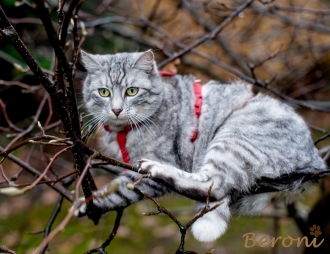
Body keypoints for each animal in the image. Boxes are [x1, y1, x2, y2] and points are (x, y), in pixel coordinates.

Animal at [76, 49, 326, 242]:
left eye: (132, 91)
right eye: (104, 92)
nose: (116, 109)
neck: (122, 131)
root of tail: (315, 160)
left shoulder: (155, 167)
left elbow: (124, 189)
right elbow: (115, 188)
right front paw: (88, 203)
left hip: (232, 140)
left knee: (213, 184)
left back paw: (156, 169)